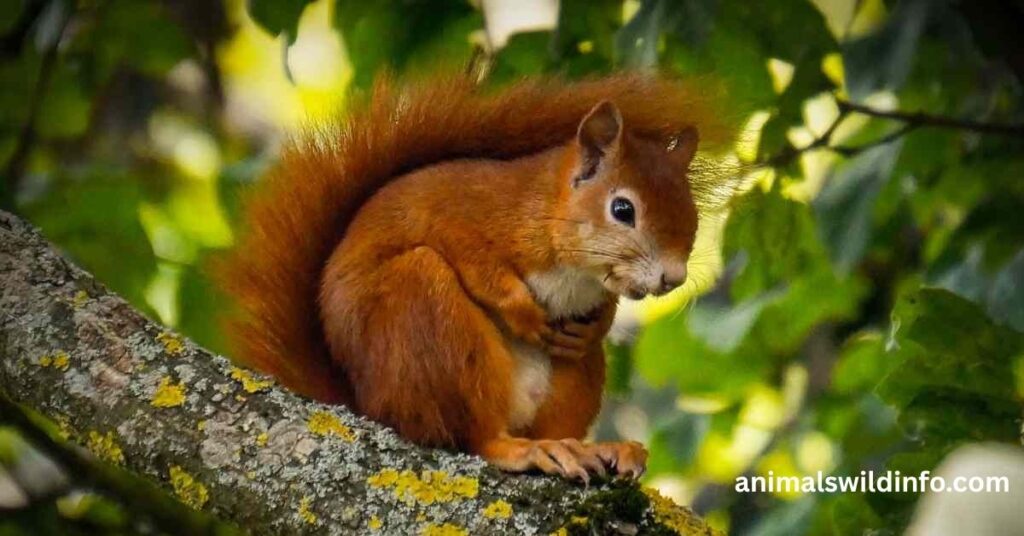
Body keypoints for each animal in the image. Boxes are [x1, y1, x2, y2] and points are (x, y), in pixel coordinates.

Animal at [217, 72, 732, 481]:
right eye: (622, 209)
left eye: (692, 216)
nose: (672, 277)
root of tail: (367, 404)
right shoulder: (454, 213)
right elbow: (477, 263)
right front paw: (523, 312)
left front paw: (595, 325)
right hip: (423, 316)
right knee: (472, 437)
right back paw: (524, 449)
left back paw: (591, 446)